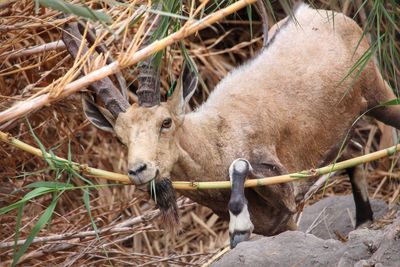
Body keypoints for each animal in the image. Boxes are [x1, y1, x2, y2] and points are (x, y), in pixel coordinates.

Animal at [64, 3, 398, 247]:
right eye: (120, 138)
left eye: (165, 122)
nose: (138, 170)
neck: (213, 137)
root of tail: (313, 12)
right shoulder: (278, 224)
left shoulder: (282, 186)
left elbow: (240, 165)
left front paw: (239, 227)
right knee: (355, 149)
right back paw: (364, 219)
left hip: (377, 92)